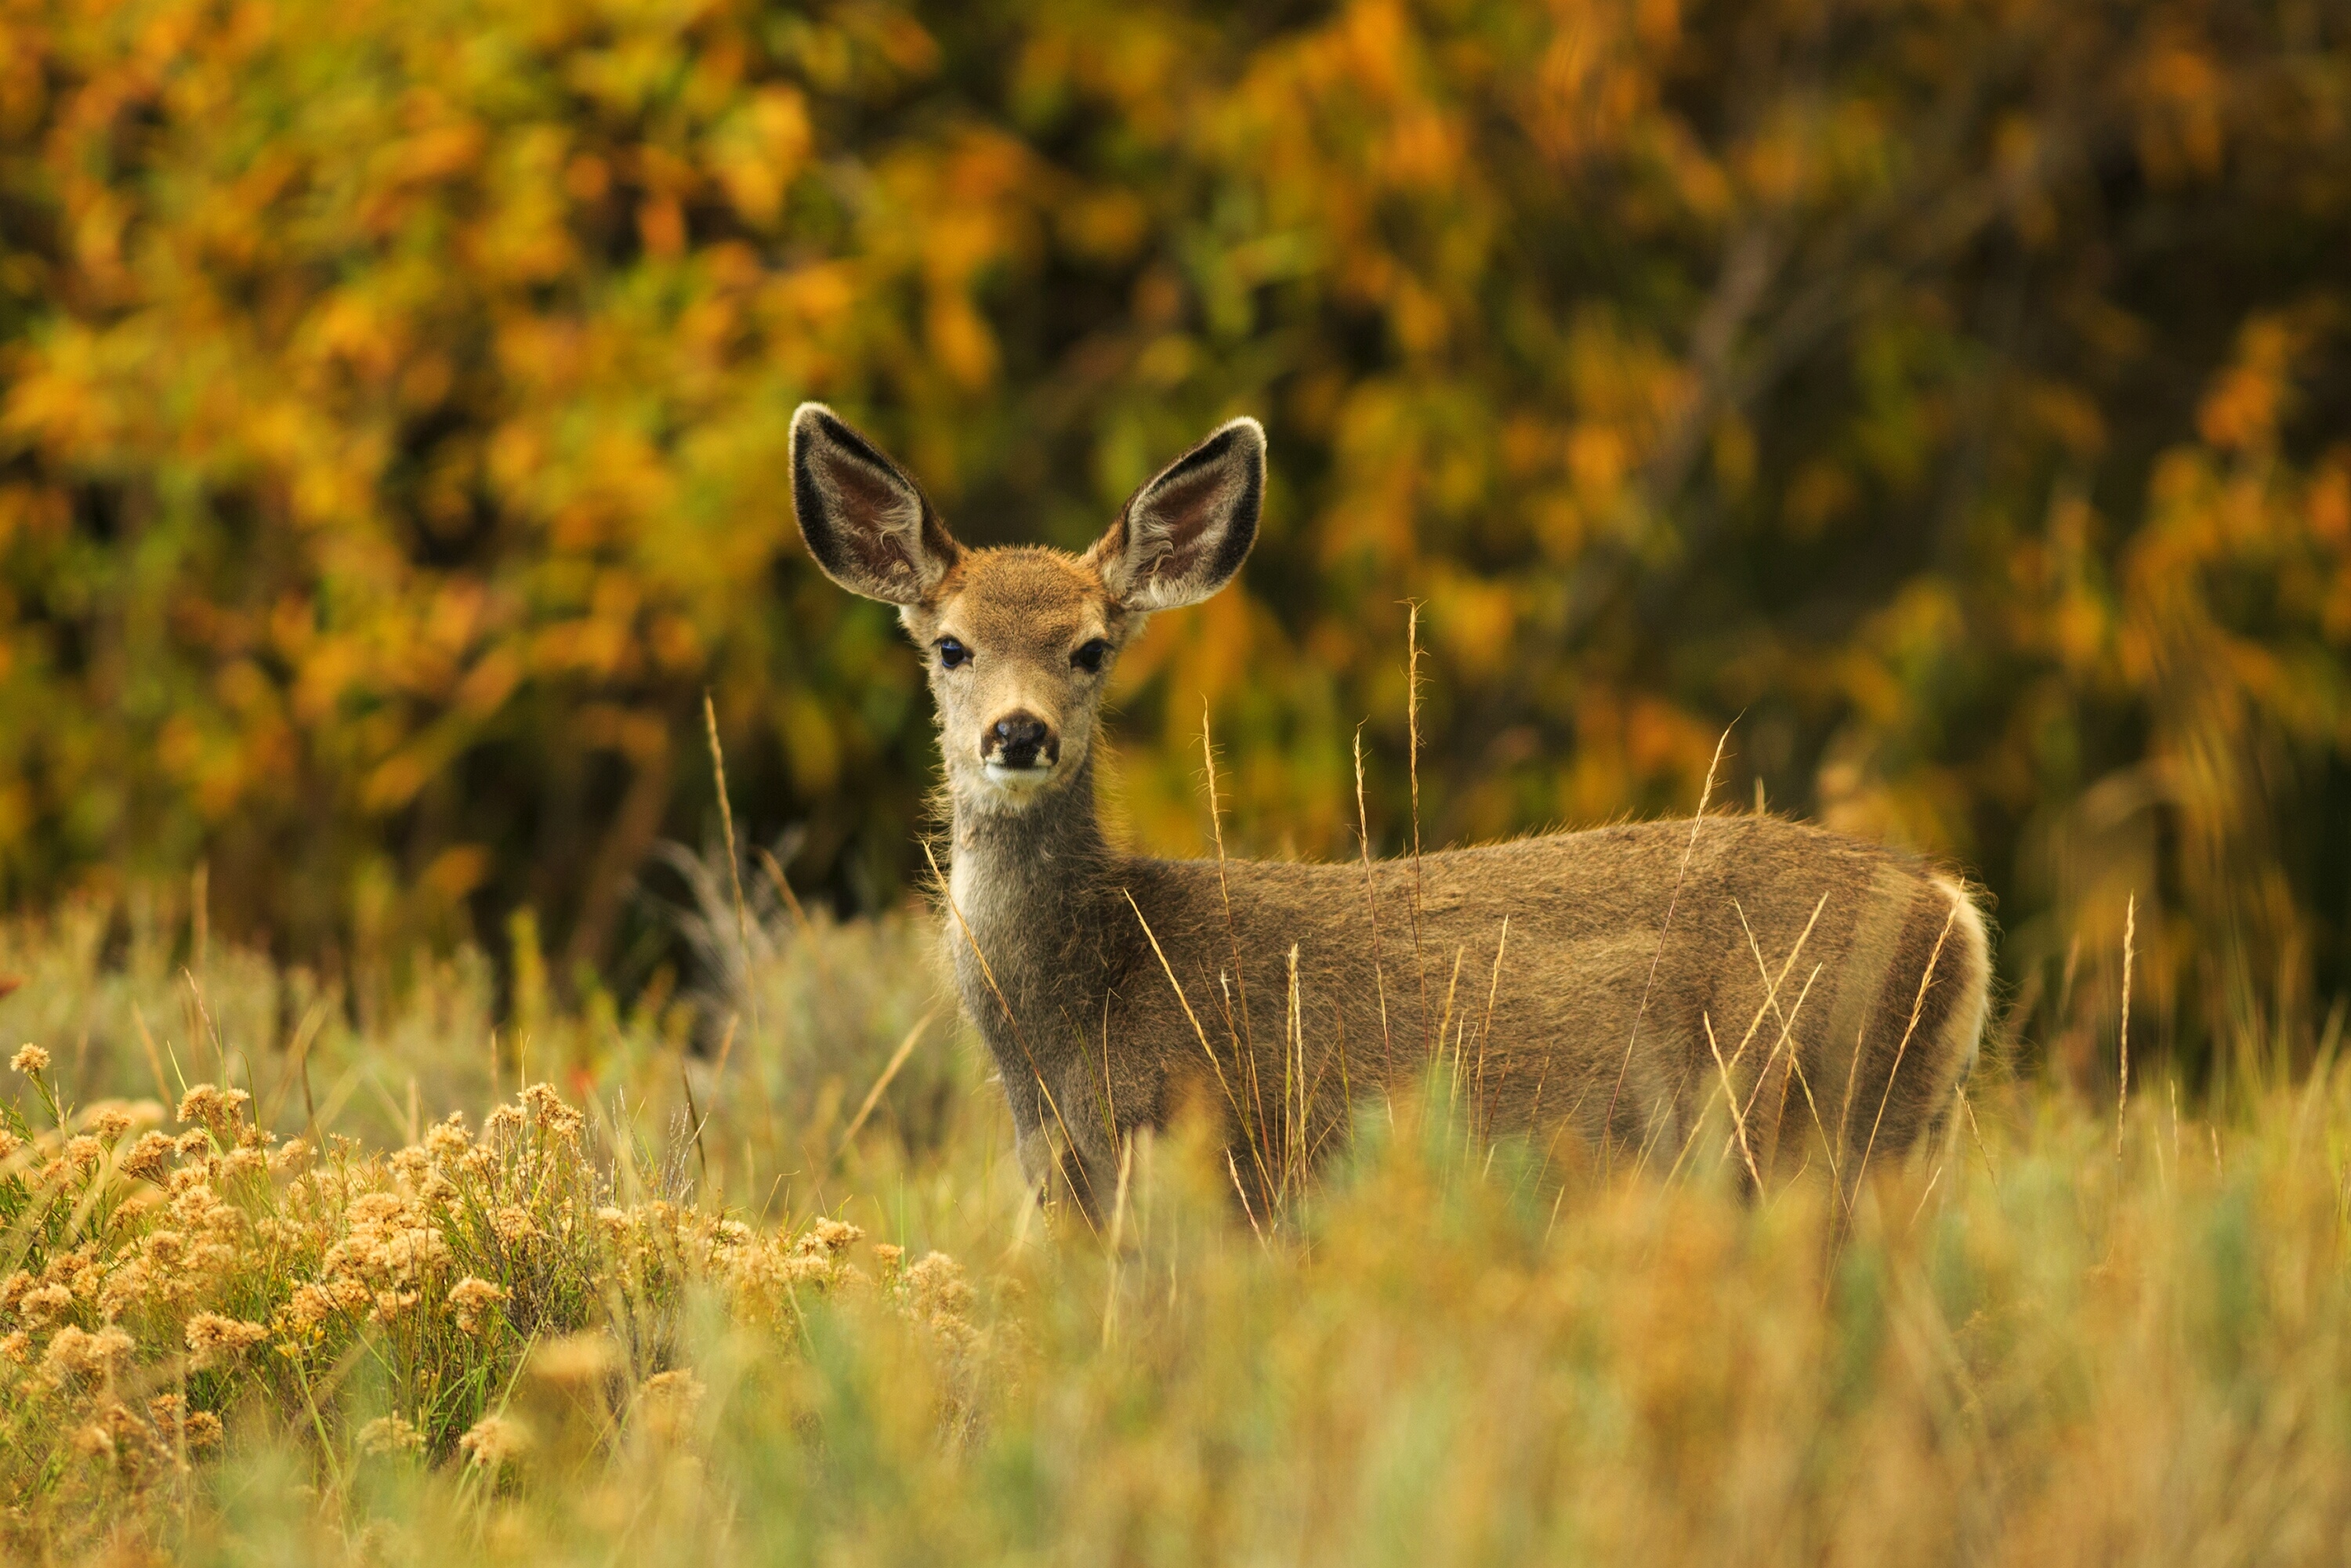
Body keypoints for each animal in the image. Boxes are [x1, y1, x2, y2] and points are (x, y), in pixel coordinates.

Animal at [789, 403, 1992, 1219]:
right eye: (952, 646)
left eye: (1089, 648)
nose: (1018, 734)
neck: (1077, 1019)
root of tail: (1954, 910)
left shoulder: (1222, 1161)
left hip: (1806, 1127)